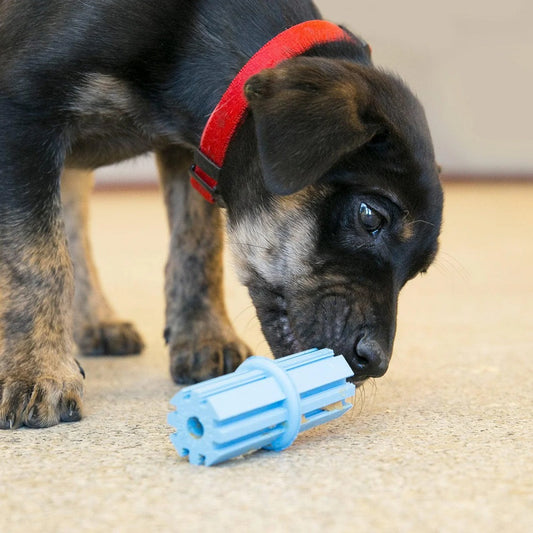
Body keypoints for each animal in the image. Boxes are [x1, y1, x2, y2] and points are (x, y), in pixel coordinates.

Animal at [0, 0, 440, 426]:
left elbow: (197, 246)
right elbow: (39, 260)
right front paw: (37, 371)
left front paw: (204, 337)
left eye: (417, 271)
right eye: (370, 217)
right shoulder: (23, 116)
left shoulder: (194, 152)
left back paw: (97, 321)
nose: (375, 362)